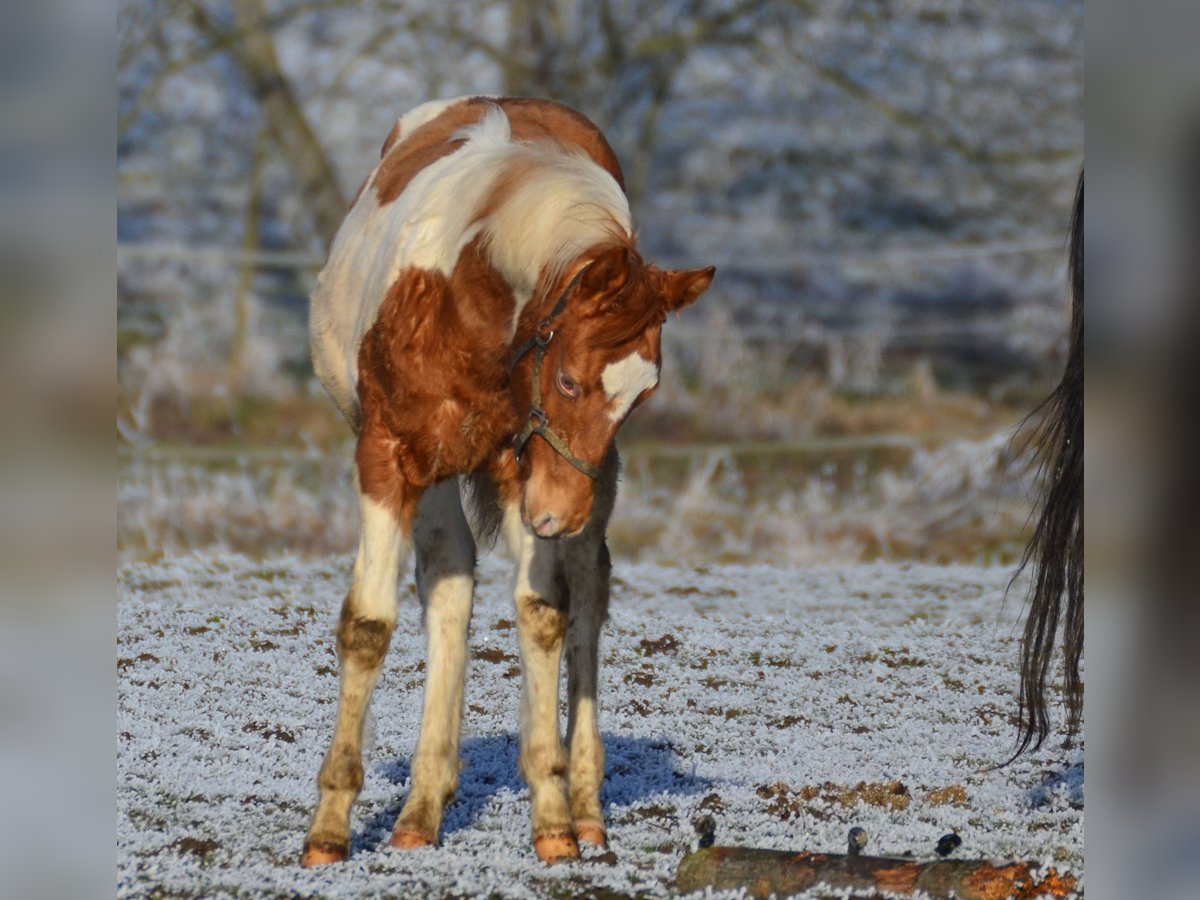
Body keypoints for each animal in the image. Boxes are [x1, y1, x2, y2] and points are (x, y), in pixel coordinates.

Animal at [302, 98, 710, 868]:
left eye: (642, 394)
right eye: (569, 379)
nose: (559, 515)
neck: (469, 294)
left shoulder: (534, 473)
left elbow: (545, 614)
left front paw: (553, 818)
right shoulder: (388, 456)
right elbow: (370, 624)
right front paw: (329, 831)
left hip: (580, 490)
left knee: (584, 597)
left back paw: (583, 808)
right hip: (441, 476)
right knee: (449, 581)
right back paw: (419, 812)